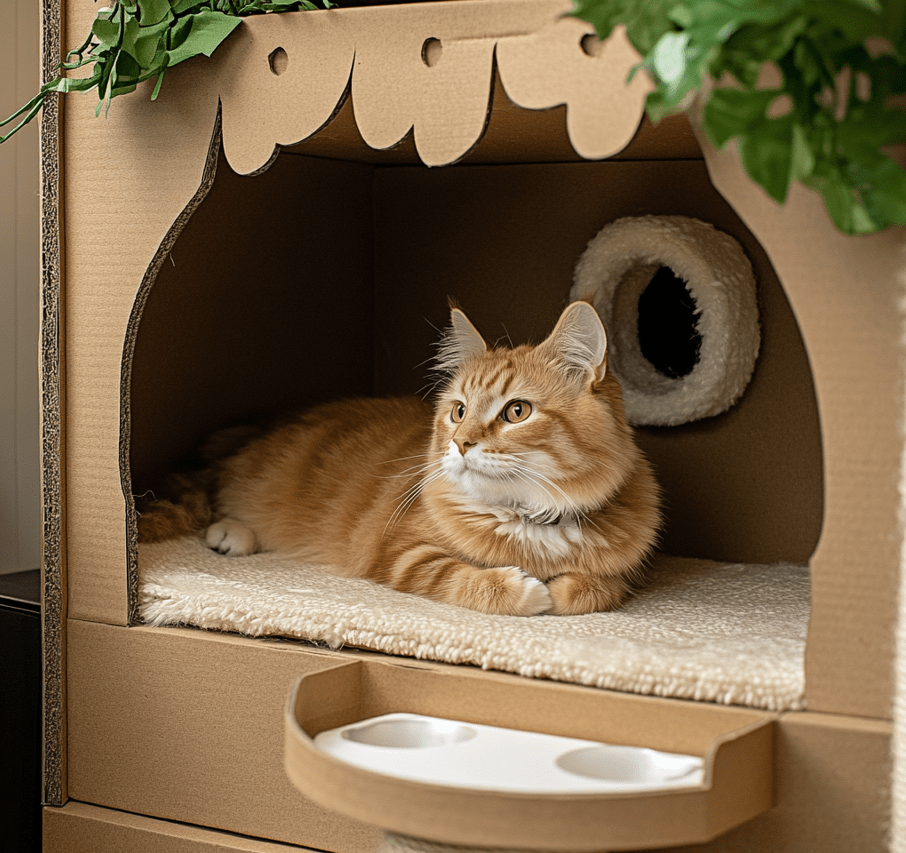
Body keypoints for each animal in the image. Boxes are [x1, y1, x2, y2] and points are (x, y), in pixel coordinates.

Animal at [139, 302, 656, 616]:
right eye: (459, 411)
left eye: (517, 411)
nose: (461, 443)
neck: (524, 519)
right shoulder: (401, 554)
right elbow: (467, 578)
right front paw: (526, 589)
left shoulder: (624, 572)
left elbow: (588, 589)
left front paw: (559, 588)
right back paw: (231, 534)